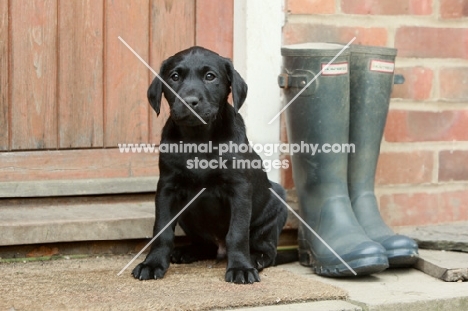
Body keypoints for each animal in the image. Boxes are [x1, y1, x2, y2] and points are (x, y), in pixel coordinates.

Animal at [130, 47, 288, 286]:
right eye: (174, 77)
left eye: (210, 76)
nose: (189, 101)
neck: (198, 139)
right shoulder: (167, 187)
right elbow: (162, 229)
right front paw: (153, 263)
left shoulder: (239, 189)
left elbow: (237, 233)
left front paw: (241, 267)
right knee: (204, 245)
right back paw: (186, 252)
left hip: (278, 202)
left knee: (268, 249)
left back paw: (256, 258)